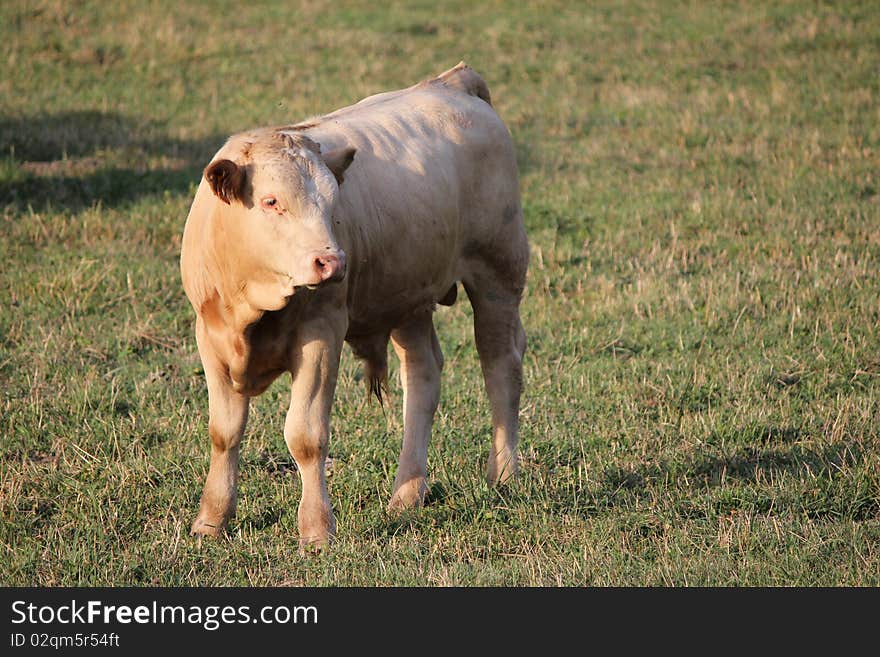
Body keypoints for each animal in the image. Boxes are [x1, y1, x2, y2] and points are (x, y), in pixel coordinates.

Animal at [175, 61, 524, 544]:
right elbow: (223, 432)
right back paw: (407, 493)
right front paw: (211, 520)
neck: (253, 299)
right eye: (270, 201)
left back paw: (503, 474)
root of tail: (453, 83)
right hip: (408, 298)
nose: (332, 261)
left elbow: (306, 435)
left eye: (332, 202)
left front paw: (316, 529)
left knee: (500, 366)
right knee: (422, 378)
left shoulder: (322, 333)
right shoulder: (209, 336)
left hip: (498, 272)